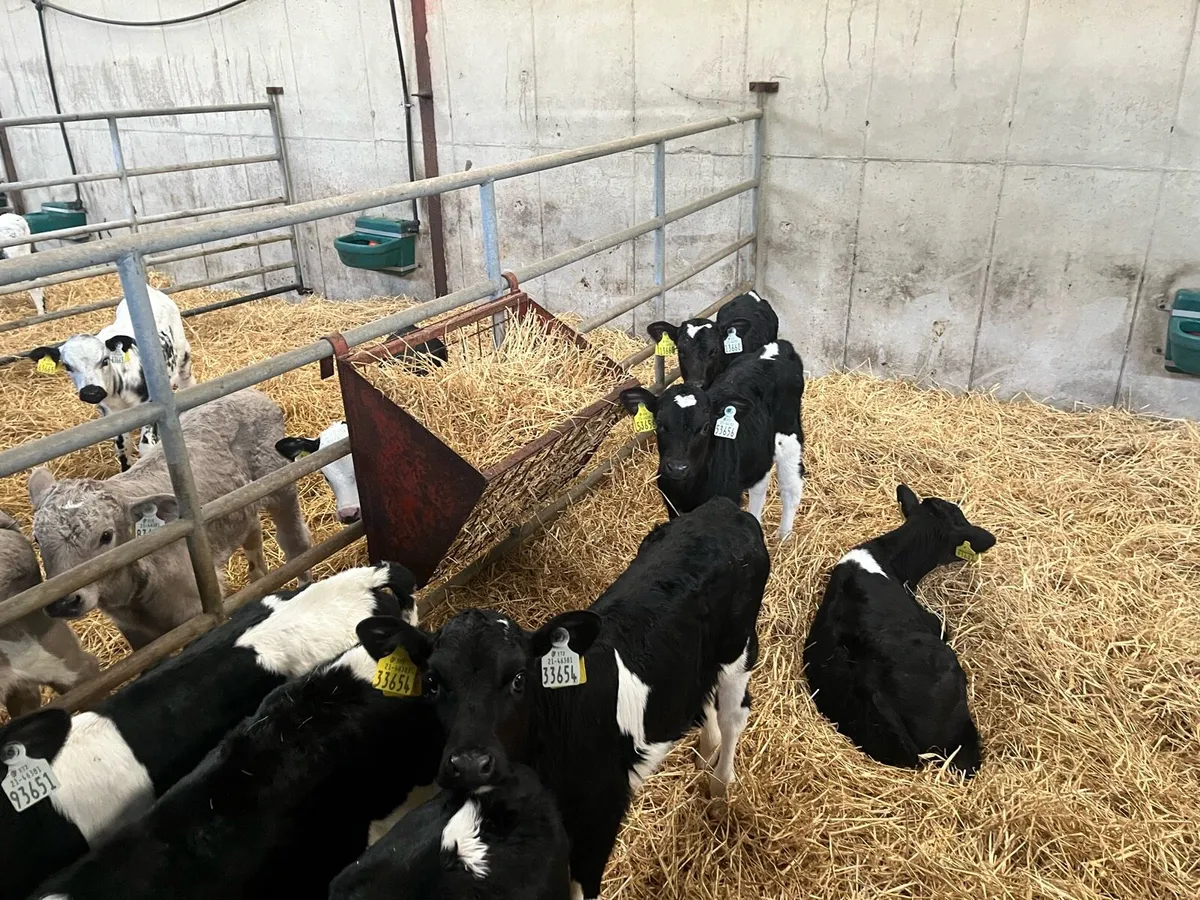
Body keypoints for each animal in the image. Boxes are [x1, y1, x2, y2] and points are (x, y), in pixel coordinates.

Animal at [28, 388, 313, 649]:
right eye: (37, 539)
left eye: (106, 535)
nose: (64, 602)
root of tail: (250, 393)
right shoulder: (133, 632)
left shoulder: (194, 611)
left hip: (281, 487)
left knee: (294, 541)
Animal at [29, 285, 194, 471]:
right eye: (67, 366)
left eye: (105, 360)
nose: (91, 392)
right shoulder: (111, 413)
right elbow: (122, 446)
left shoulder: (152, 404)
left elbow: (146, 446)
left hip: (183, 354)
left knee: (187, 381)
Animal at [355, 496, 770, 900]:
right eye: (432, 682)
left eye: (519, 679)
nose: (470, 766)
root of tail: (724, 509)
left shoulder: (597, 827)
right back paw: (705, 750)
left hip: (740, 649)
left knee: (735, 715)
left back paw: (719, 787)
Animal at [620, 339, 805, 540]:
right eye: (660, 424)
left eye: (706, 427)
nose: (677, 467)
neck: (689, 491)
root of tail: (779, 345)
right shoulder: (672, 504)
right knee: (760, 483)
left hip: (790, 438)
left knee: (791, 488)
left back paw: (784, 535)